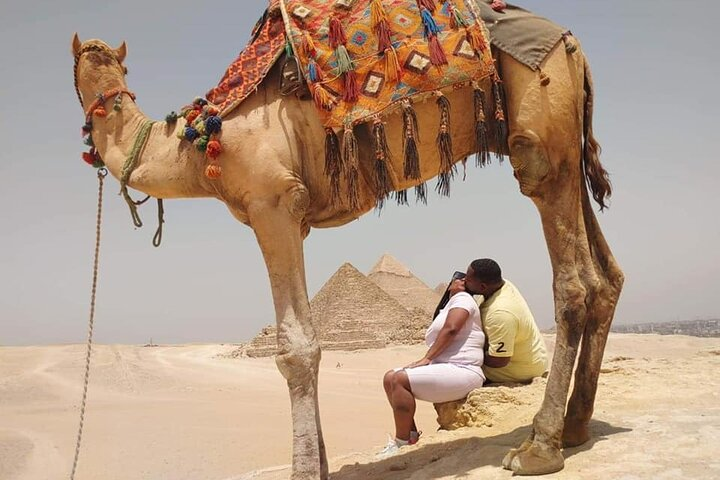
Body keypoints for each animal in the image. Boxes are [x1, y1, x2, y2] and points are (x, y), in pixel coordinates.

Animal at [71, 6, 623, 476]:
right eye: (83, 73)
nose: (100, 104)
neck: (205, 140)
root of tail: (572, 46)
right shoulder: (294, 218)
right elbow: (308, 340)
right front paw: (318, 462)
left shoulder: (273, 204)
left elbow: (296, 348)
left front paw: (304, 470)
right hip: (568, 151)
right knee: (607, 277)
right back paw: (575, 427)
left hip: (540, 133)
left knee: (574, 281)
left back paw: (539, 448)